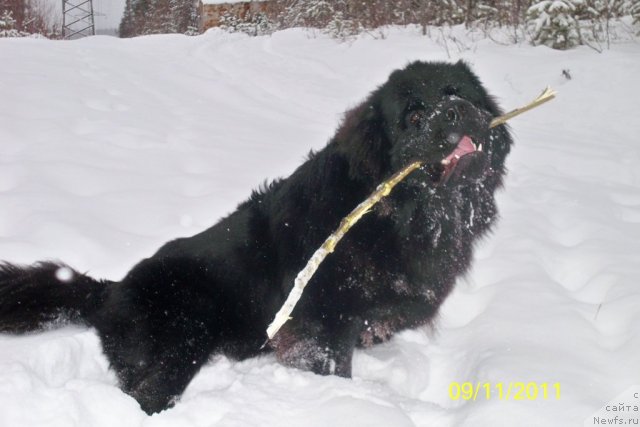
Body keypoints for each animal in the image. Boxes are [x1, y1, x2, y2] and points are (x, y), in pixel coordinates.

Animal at [0, 61, 512, 414]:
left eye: (459, 94)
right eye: (414, 117)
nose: (455, 111)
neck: (403, 214)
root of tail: (108, 291)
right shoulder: (320, 323)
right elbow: (330, 365)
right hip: (184, 332)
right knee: (145, 392)